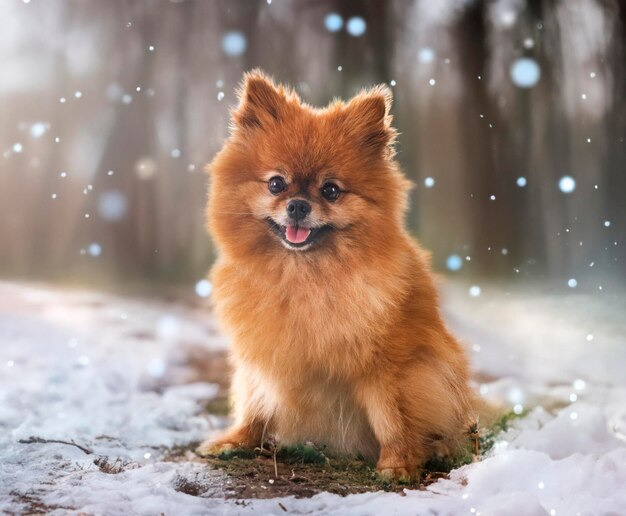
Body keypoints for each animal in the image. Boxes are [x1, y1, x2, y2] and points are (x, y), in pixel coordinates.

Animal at [200, 69, 472, 480]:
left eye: (331, 190)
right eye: (276, 184)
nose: (298, 205)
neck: (303, 277)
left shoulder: (390, 363)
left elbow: (392, 416)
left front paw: (398, 462)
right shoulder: (262, 353)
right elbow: (255, 401)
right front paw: (238, 440)